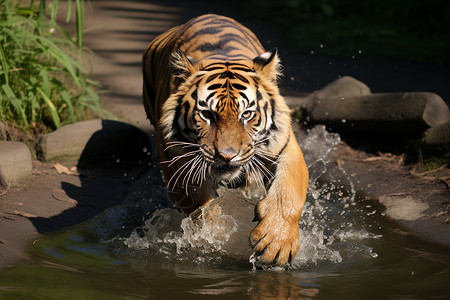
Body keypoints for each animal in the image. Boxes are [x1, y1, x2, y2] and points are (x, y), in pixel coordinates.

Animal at [142, 14, 308, 268]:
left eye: (247, 114)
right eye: (207, 114)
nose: (227, 155)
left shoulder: (285, 147)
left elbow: (289, 190)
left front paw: (277, 241)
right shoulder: (177, 161)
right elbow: (201, 205)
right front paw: (216, 237)